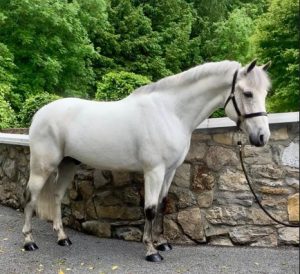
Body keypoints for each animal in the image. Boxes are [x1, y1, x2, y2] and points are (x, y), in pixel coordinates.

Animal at [22, 59, 272, 262]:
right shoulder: (154, 170)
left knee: (56, 196)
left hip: (67, 164)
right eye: (248, 93)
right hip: (43, 166)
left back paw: (62, 238)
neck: (171, 113)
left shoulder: (169, 171)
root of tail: (40, 114)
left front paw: (162, 243)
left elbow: (161, 204)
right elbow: (150, 209)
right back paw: (29, 241)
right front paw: (151, 251)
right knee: (30, 197)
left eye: (265, 94)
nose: (262, 137)